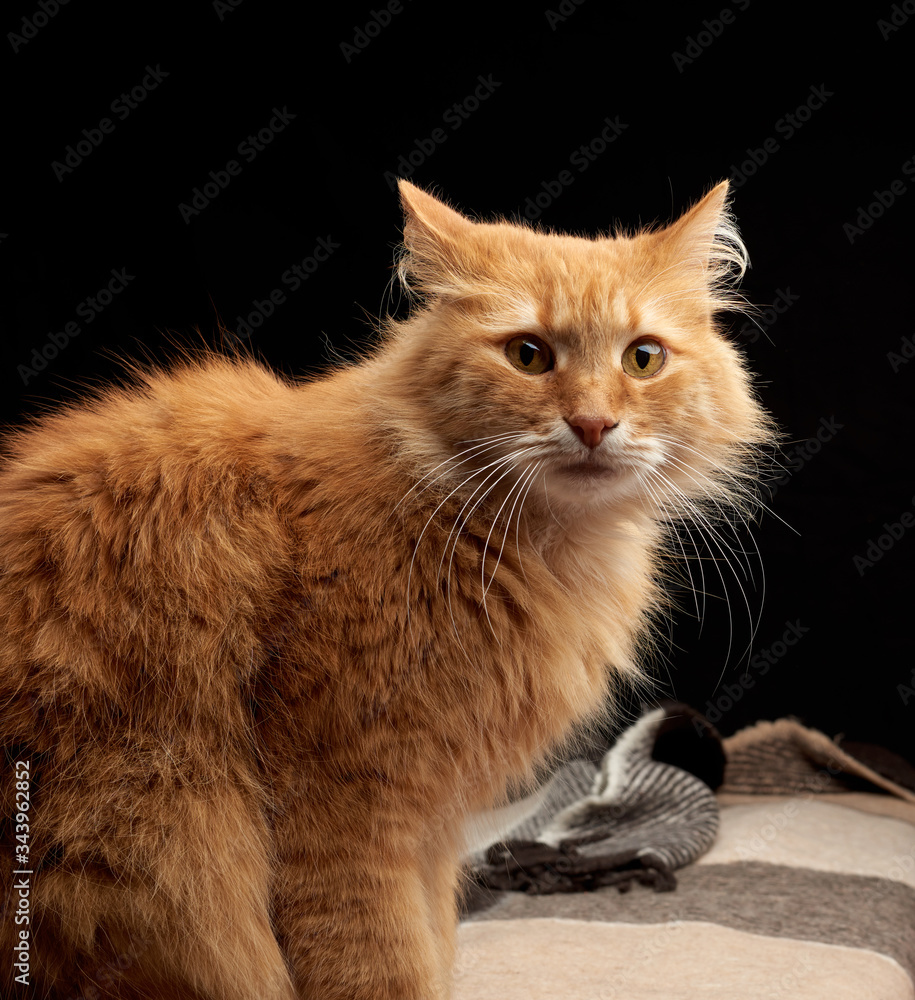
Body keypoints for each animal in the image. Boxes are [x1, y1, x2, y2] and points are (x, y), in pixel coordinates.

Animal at [0, 182, 772, 1000]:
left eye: (643, 358)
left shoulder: (431, 821)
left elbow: (432, 938)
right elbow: (383, 962)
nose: (593, 424)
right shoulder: (348, 806)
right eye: (528, 356)